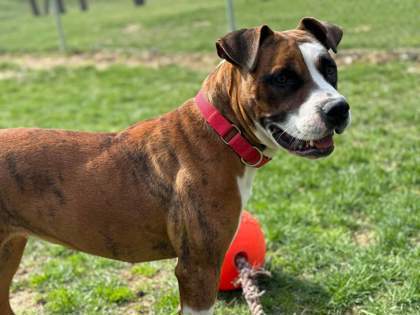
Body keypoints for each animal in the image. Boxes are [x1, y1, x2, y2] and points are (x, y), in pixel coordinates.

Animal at [0, 17, 348, 315]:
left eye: (330, 68)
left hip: (8, 252)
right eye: (282, 77)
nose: (338, 108)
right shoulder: (198, 269)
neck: (222, 133)